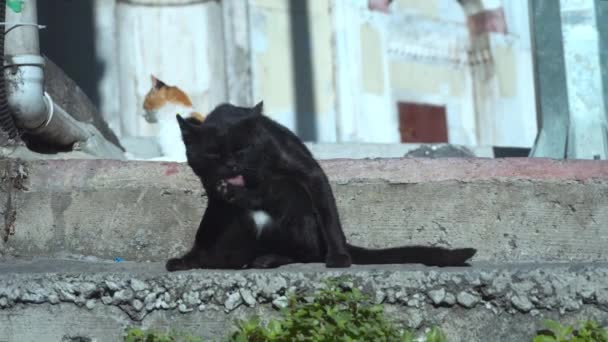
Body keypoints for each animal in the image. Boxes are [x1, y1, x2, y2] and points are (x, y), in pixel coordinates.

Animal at [165, 101, 476, 270]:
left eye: (242, 150)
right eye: (214, 156)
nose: (231, 165)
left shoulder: (307, 171)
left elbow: (326, 212)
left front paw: (339, 258)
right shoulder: (212, 195)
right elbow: (208, 227)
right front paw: (191, 259)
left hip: (301, 216)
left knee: (306, 250)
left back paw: (271, 257)